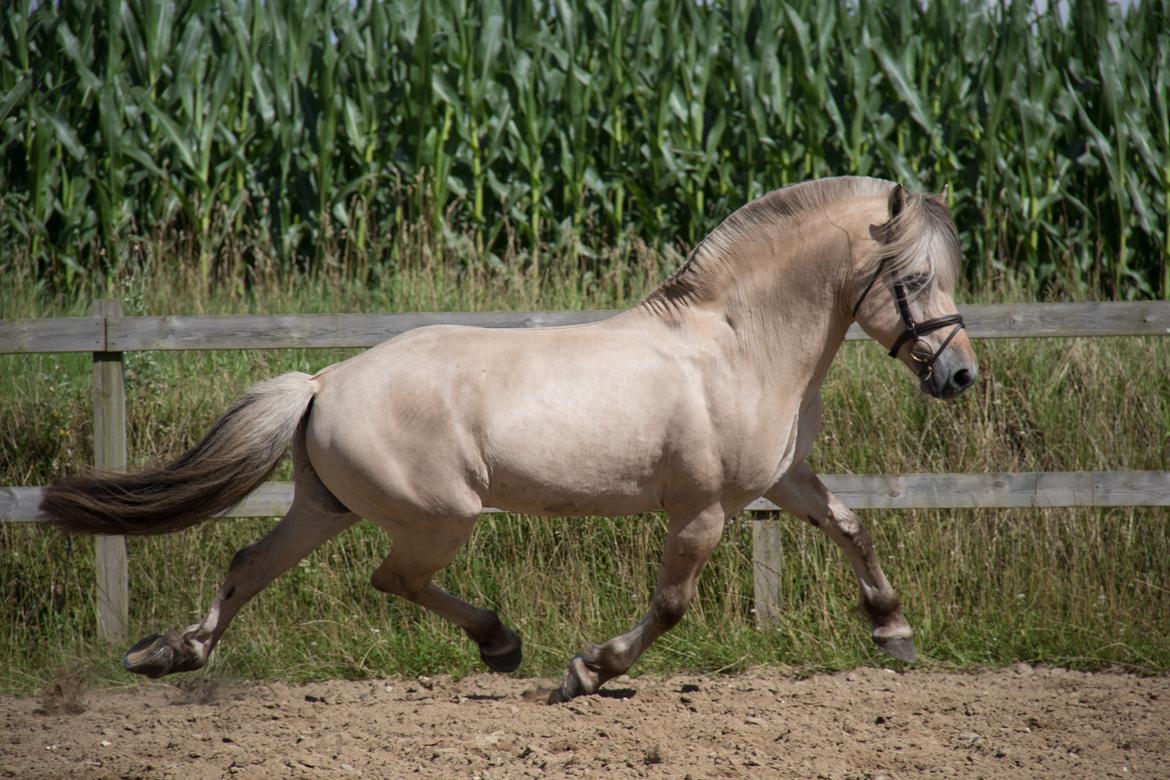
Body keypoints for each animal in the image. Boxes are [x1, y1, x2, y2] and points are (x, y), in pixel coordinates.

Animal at [41, 176, 978, 701]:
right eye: (913, 277)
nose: (960, 375)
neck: (738, 345)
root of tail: (322, 383)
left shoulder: (781, 481)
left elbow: (853, 528)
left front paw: (893, 634)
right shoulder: (704, 508)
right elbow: (671, 605)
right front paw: (587, 671)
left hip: (326, 505)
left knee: (250, 564)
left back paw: (171, 653)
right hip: (438, 516)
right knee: (391, 578)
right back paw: (501, 643)